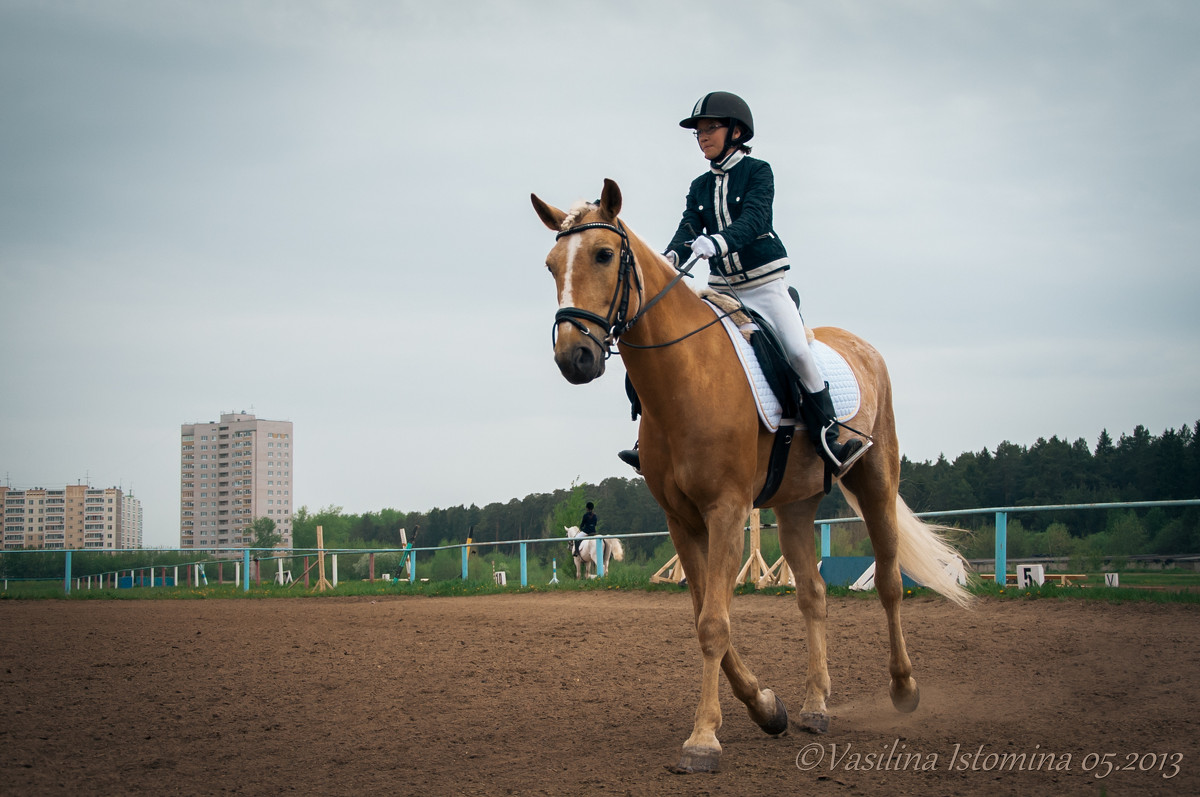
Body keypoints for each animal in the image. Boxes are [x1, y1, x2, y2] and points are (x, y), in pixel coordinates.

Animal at [530, 178, 969, 772]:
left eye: (603, 254)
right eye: (552, 265)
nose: (573, 357)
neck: (687, 375)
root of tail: (860, 345)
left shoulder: (727, 511)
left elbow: (714, 623)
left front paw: (702, 739)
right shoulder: (683, 521)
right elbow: (704, 615)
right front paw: (766, 707)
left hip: (876, 481)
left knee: (889, 583)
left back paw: (903, 689)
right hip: (795, 505)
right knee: (812, 594)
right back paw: (815, 706)